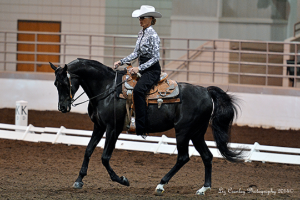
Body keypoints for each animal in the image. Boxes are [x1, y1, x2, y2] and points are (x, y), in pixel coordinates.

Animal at [49, 57, 241, 195]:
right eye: (55, 84)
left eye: (65, 83)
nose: (63, 108)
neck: (107, 89)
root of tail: (206, 91)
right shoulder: (99, 126)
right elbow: (88, 150)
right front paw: (79, 180)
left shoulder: (113, 129)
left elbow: (105, 157)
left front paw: (123, 180)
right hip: (196, 133)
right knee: (207, 156)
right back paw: (203, 188)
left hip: (183, 131)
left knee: (183, 157)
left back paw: (161, 185)